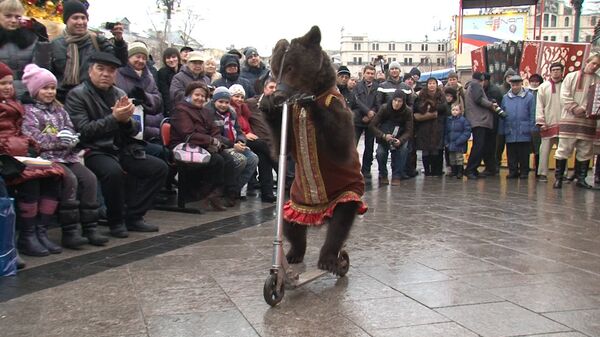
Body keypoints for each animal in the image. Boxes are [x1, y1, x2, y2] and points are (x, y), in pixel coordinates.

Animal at [260, 25, 368, 272]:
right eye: (274, 69)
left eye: (290, 66)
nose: (277, 94)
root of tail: (321, 213)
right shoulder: (290, 123)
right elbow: (282, 146)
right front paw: (267, 104)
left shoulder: (340, 109)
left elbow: (340, 144)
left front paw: (310, 103)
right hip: (296, 201)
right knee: (291, 224)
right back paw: (293, 254)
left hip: (346, 192)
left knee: (340, 222)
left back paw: (330, 259)